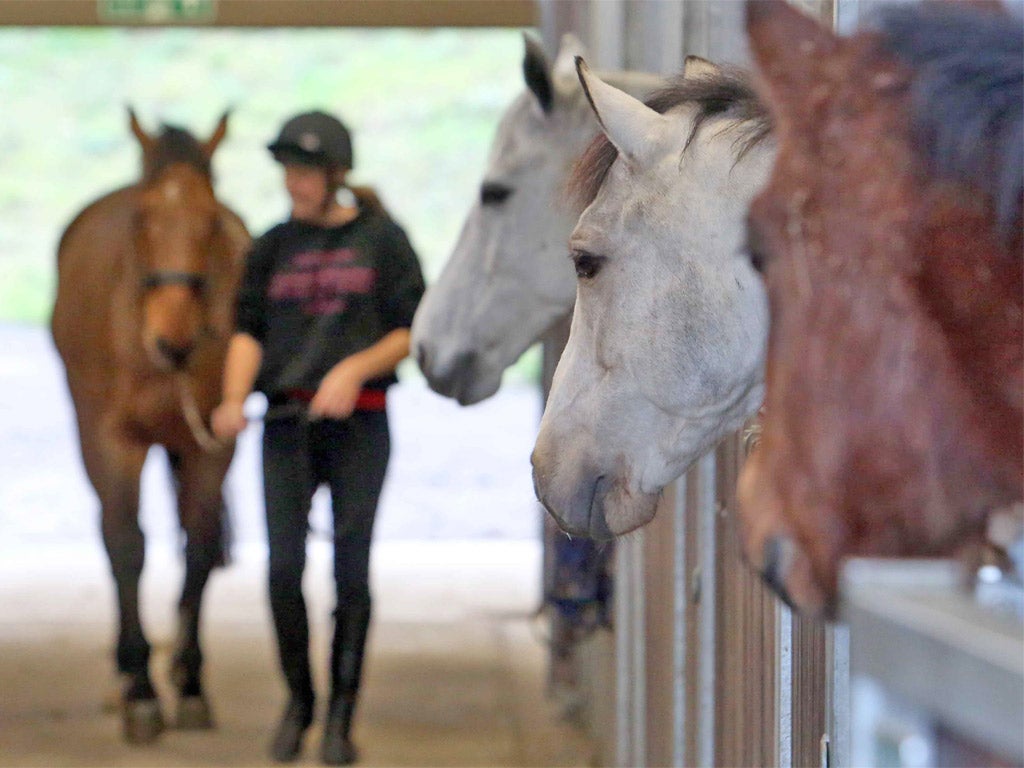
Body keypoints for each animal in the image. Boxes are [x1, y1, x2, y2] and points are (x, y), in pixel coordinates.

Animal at [51, 111, 249, 741]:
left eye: (212, 221)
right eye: (141, 219)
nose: (174, 340)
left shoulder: (213, 441)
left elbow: (200, 546)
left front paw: (189, 686)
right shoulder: (114, 441)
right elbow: (126, 545)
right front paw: (141, 691)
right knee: (112, 533)